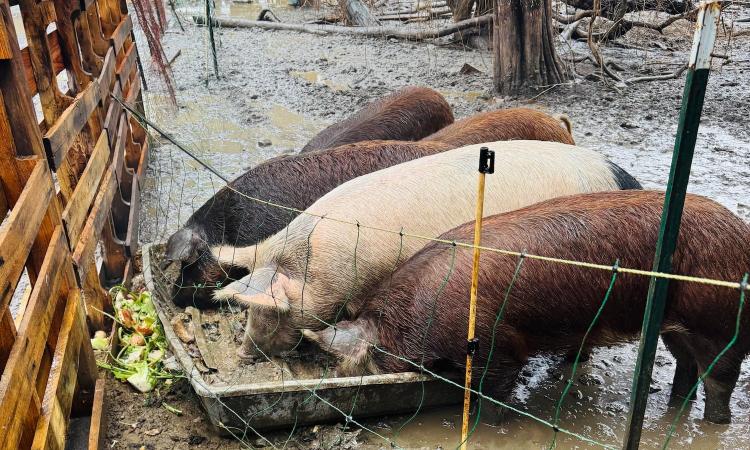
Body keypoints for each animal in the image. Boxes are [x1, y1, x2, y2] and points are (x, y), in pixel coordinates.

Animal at [306, 190, 750, 426]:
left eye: (361, 363)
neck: (415, 316)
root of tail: (742, 235)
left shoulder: (498, 346)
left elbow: (494, 393)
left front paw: (485, 424)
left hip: (719, 322)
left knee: (720, 377)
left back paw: (714, 423)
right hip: (673, 325)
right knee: (686, 365)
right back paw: (676, 409)